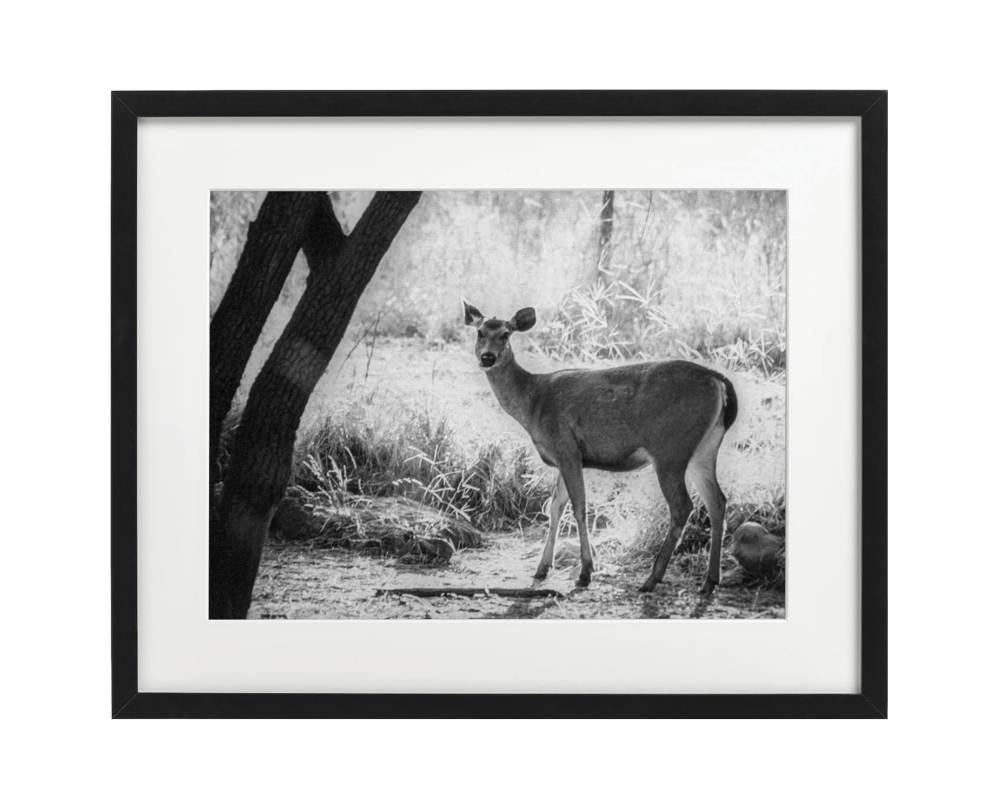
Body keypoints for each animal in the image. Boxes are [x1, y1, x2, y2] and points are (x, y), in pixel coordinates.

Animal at [463, 301, 738, 594]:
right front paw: (542, 568)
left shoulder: (566, 448)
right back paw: (709, 581)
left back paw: (651, 579)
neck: (534, 403)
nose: (487, 358)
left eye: (505, 334)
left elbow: (578, 507)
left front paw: (585, 573)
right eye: (480, 332)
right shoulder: (564, 457)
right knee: (717, 501)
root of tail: (719, 380)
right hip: (704, 449)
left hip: (670, 448)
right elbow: (554, 507)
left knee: (683, 506)